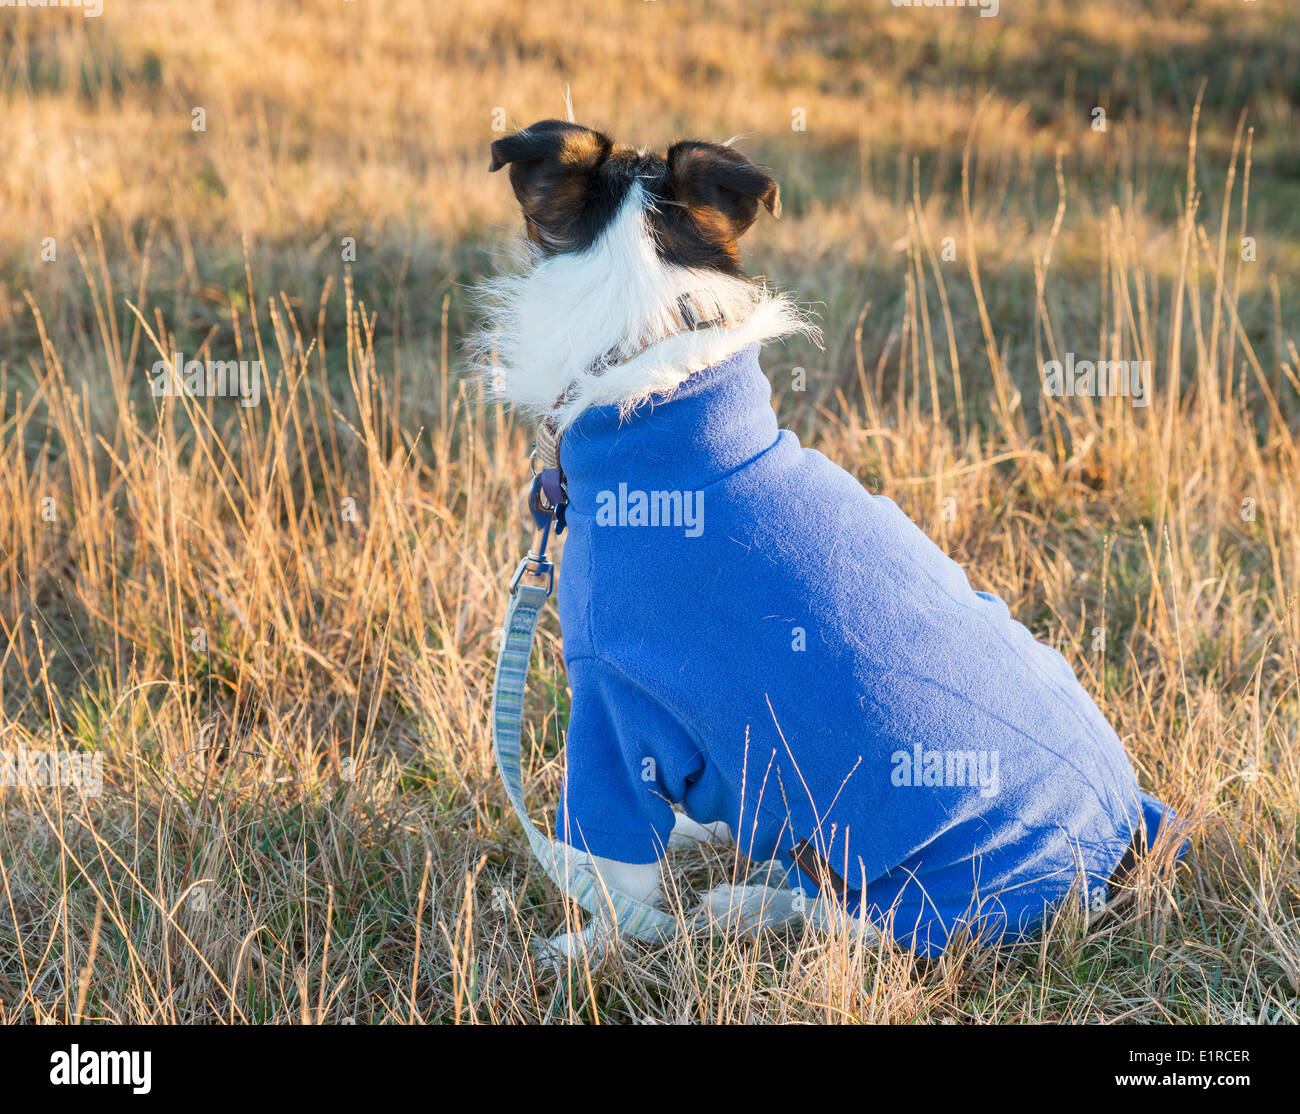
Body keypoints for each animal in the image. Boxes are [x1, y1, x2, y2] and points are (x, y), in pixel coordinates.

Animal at [475, 117, 1180, 961]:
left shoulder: (612, 709)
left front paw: (578, 951)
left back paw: (744, 902)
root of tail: (1119, 841)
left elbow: (621, 883)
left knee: (836, 919)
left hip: (905, 892)